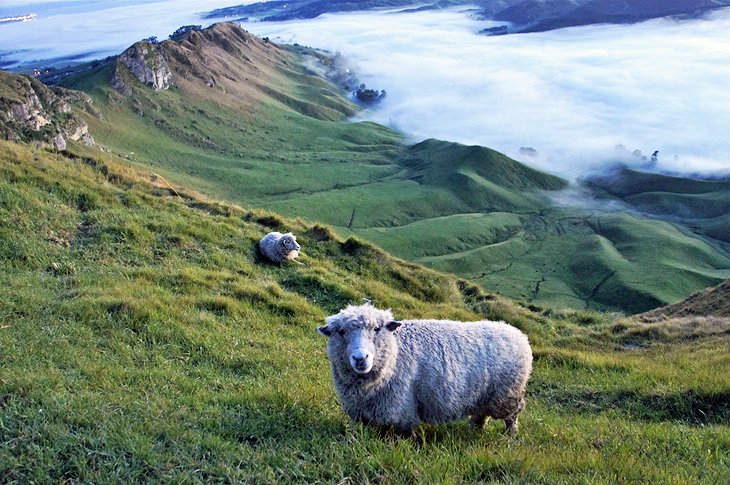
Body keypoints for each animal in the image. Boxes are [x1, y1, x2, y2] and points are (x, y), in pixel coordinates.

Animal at [316, 302, 532, 434]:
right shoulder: (363, 410)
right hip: (484, 394)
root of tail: (518, 333)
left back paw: (510, 435)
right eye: (341, 331)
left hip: (507, 395)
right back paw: (475, 429)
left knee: (513, 415)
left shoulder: (401, 406)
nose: (360, 358)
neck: (395, 354)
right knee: (481, 414)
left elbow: (405, 433)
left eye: (377, 329)